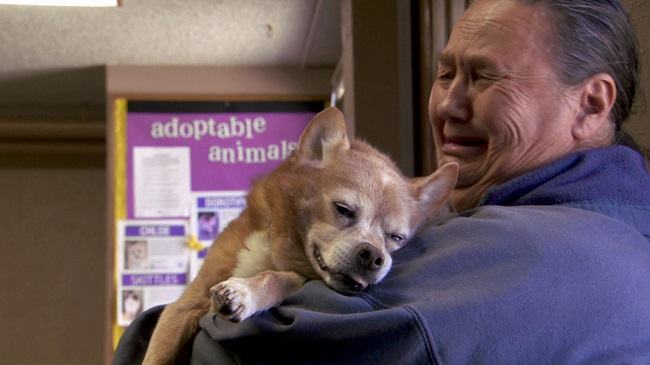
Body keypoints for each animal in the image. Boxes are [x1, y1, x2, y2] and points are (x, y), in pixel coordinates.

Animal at [142, 106, 456, 362]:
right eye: (343, 209)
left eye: (397, 238)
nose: (373, 256)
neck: (276, 246)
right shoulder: (181, 308)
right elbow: (156, 356)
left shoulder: (297, 279)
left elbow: (277, 278)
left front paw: (244, 291)